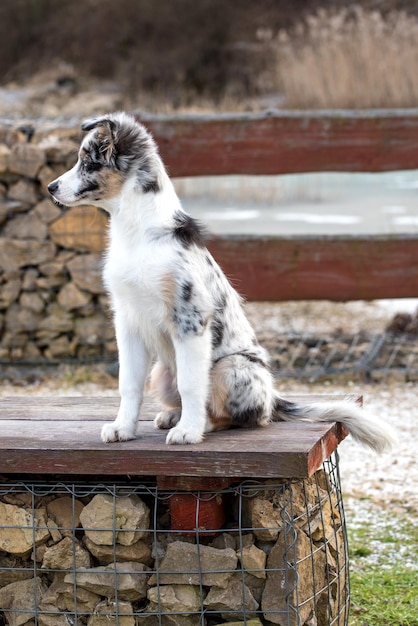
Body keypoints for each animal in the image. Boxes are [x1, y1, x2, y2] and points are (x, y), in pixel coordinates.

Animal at [47, 111, 394, 448]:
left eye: (88, 163)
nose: (51, 187)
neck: (138, 233)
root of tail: (274, 399)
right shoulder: (128, 320)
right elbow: (128, 384)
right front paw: (123, 428)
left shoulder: (190, 319)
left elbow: (191, 385)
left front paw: (189, 432)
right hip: (161, 371)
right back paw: (173, 416)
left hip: (232, 367)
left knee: (236, 414)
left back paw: (198, 425)